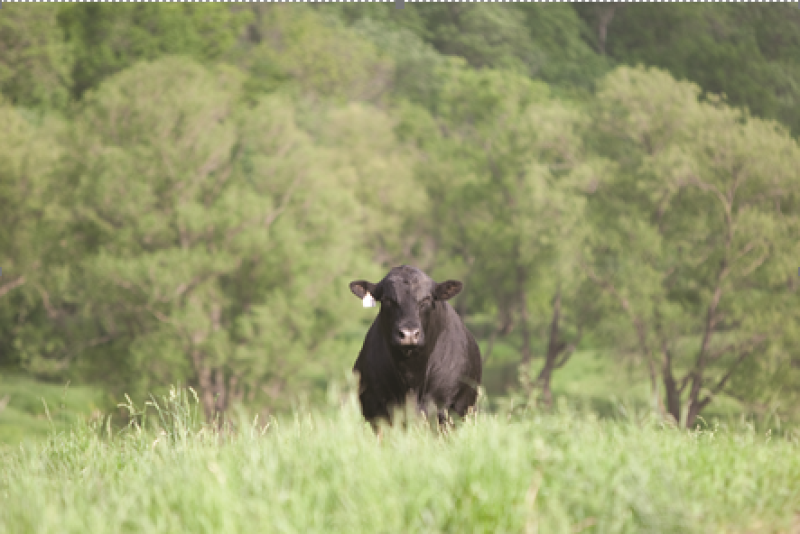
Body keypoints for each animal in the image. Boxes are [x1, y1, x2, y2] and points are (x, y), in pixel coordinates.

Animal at [349, 265, 482, 428]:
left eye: (427, 299)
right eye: (387, 300)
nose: (409, 334)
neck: (411, 375)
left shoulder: (447, 408)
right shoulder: (377, 408)